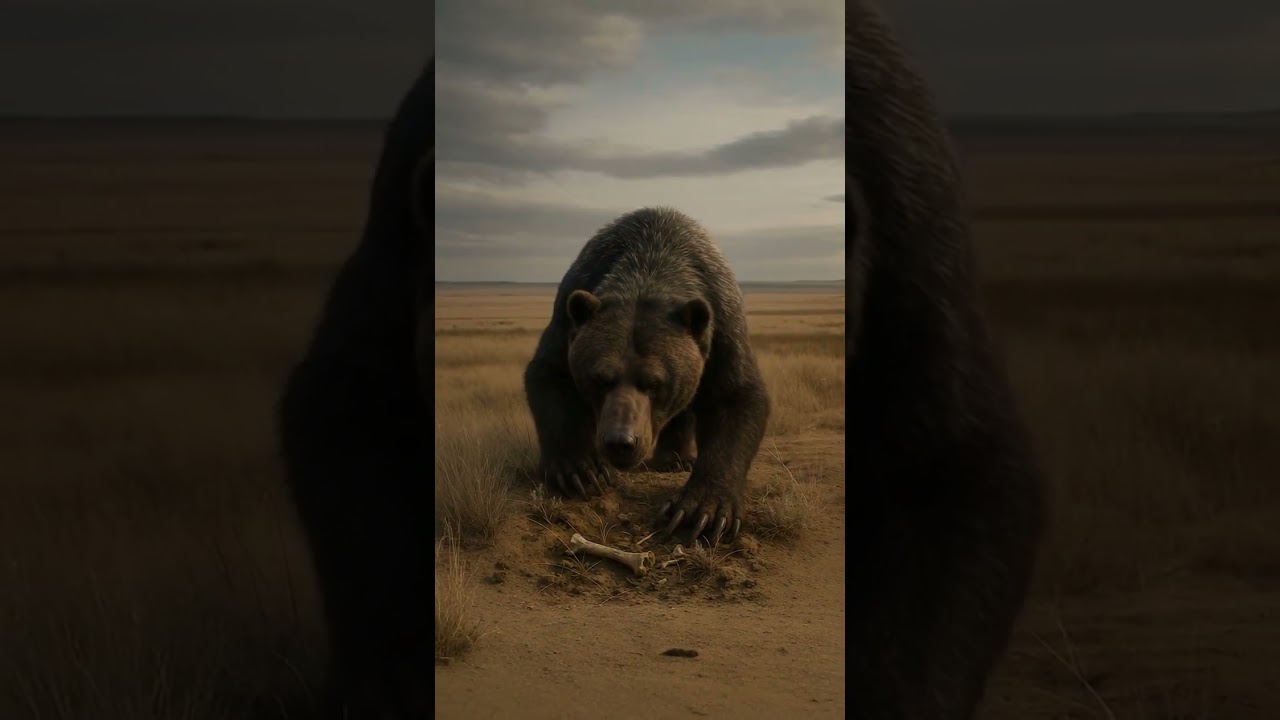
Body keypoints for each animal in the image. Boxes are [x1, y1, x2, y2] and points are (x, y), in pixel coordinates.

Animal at [523, 207, 771, 546]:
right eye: (600, 379)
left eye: (655, 382)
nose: (620, 441)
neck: (650, 266)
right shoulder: (571, 310)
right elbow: (550, 374)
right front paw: (580, 469)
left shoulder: (721, 322)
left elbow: (736, 398)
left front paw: (702, 510)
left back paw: (676, 459)